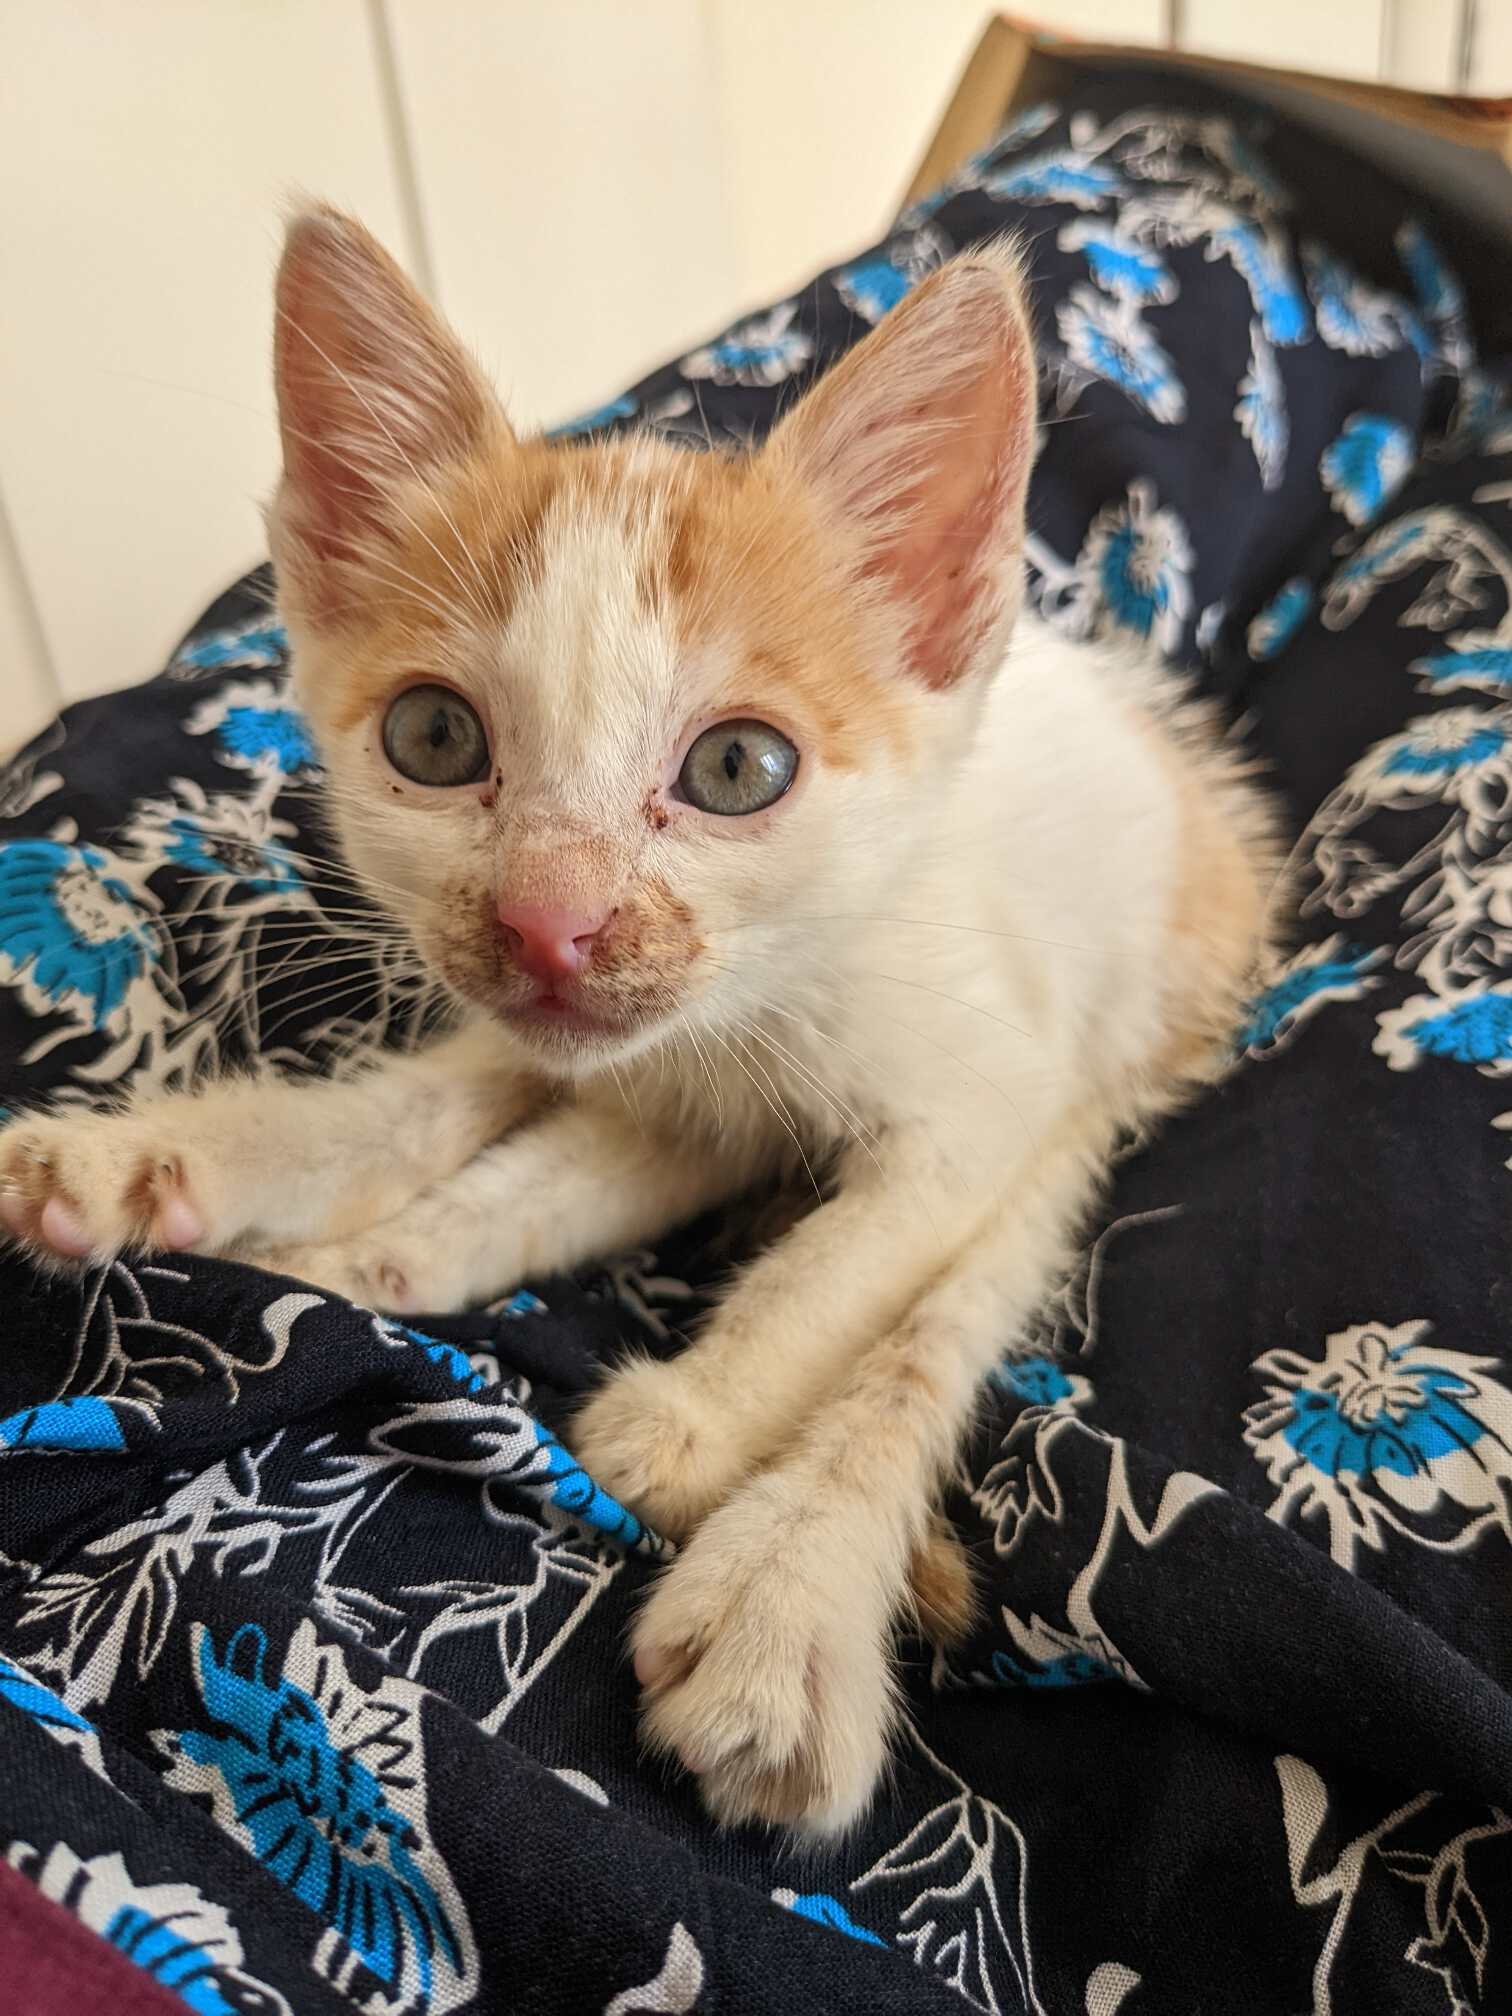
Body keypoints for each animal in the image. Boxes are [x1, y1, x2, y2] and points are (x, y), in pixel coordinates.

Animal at [0, 208, 1282, 1846]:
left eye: (740, 768)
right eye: (434, 738)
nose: (552, 921)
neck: (743, 1027)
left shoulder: (975, 1087)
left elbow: (842, 1268)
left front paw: (688, 1423)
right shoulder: (647, 1079)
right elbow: (505, 1165)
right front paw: (349, 1262)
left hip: (1113, 1034)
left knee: (961, 1297)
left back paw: (786, 1603)